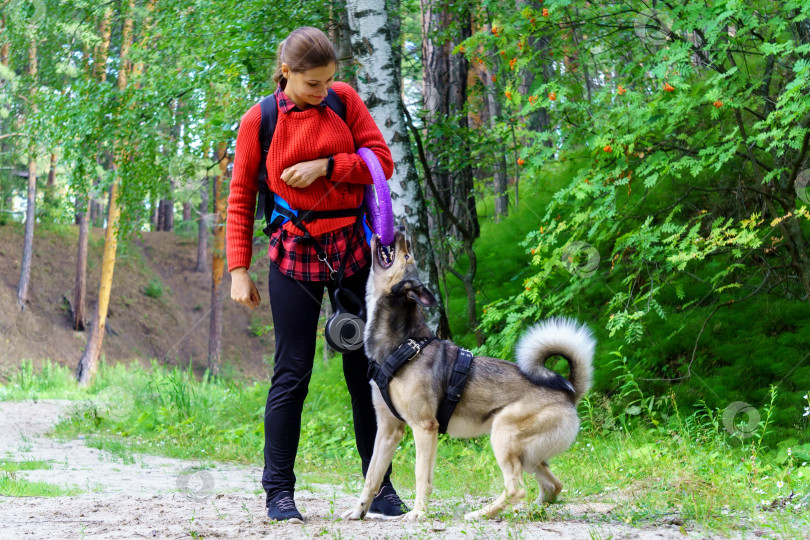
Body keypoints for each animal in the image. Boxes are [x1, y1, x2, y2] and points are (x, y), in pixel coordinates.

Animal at [340, 230, 592, 520]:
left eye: (407, 255)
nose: (401, 230)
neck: (403, 345)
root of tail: (569, 393)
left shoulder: (424, 428)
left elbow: (420, 476)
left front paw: (418, 512)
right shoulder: (388, 430)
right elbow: (372, 476)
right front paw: (358, 510)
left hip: (503, 433)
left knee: (517, 489)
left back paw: (482, 514)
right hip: (528, 456)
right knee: (553, 486)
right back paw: (529, 512)